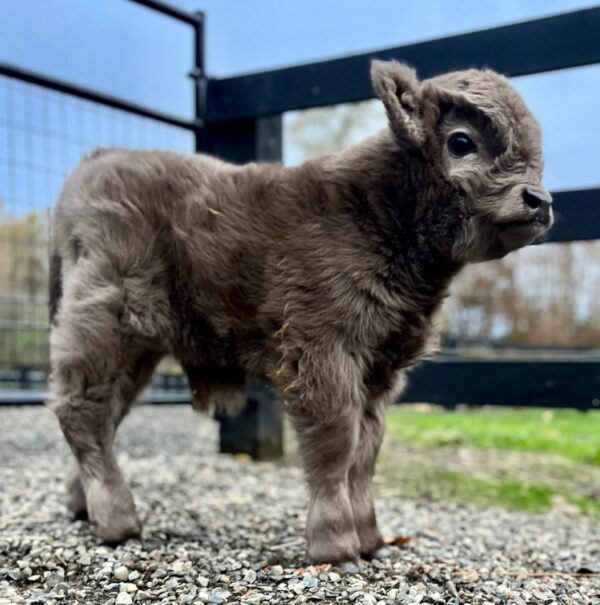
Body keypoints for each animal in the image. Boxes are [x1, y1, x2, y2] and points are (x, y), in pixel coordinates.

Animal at [48, 59, 552, 564]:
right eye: (461, 141)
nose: (540, 201)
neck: (376, 213)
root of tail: (98, 162)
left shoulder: (380, 370)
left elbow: (366, 450)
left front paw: (370, 538)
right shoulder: (323, 355)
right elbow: (336, 443)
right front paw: (336, 543)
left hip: (137, 353)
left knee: (108, 416)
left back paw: (82, 507)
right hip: (107, 326)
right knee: (83, 411)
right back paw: (119, 522)